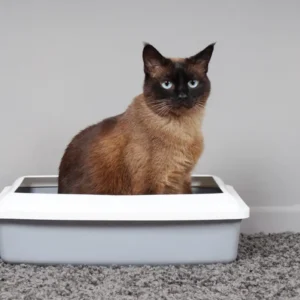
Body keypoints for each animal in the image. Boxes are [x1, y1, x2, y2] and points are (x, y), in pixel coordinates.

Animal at [57, 42, 214, 195]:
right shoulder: (151, 186)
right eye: (167, 84)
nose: (182, 96)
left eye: (192, 83)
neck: (182, 128)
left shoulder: (181, 180)